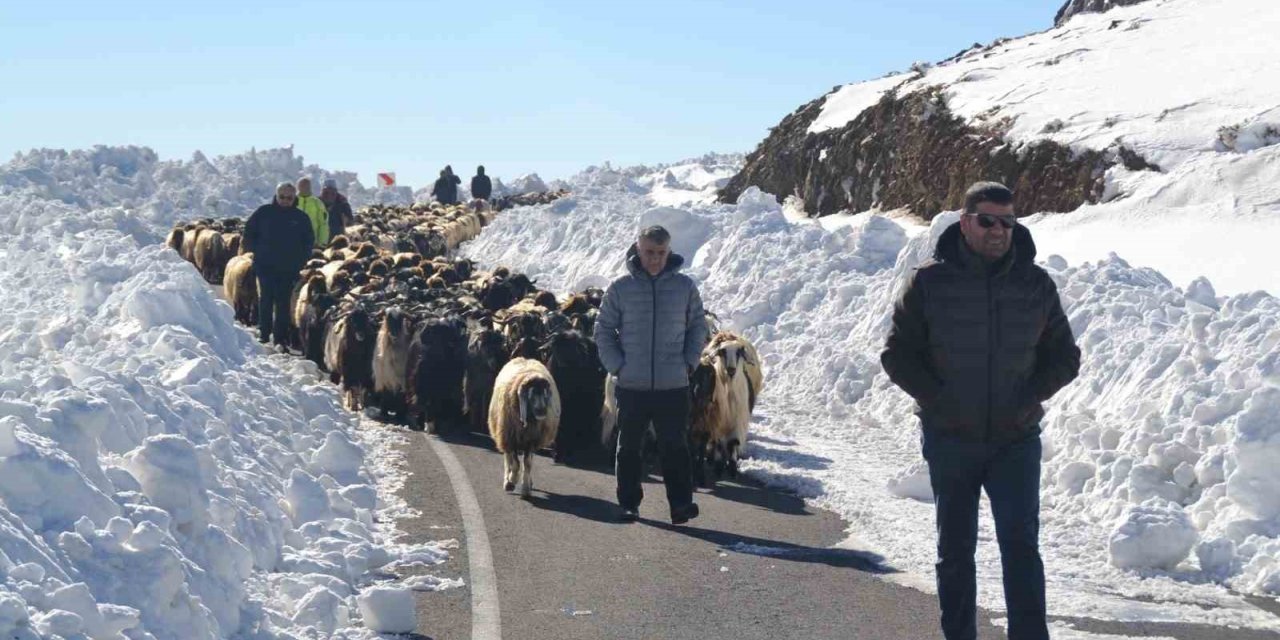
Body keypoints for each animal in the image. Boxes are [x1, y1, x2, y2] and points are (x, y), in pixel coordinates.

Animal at [488, 358, 560, 496]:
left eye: (545, 394)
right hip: (504, 433)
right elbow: (515, 463)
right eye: (531, 394)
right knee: (507, 458)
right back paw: (507, 480)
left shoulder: (532, 439)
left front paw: (526, 488)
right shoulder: (510, 438)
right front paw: (512, 480)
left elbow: (528, 463)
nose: (542, 412)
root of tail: (524, 358)